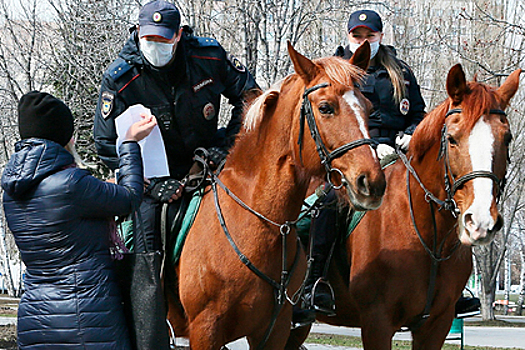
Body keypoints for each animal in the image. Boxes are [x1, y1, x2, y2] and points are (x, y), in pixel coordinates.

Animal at [166, 41, 386, 350]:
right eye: (325, 107)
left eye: (368, 107)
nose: (371, 182)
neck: (259, 222)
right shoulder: (205, 330)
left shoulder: (275, 330)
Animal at [286, 63, 520, 350]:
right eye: (452, 139)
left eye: (507, 138)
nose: (481, 221)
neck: (428, 235)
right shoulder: (377, 322)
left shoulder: (436, 326)